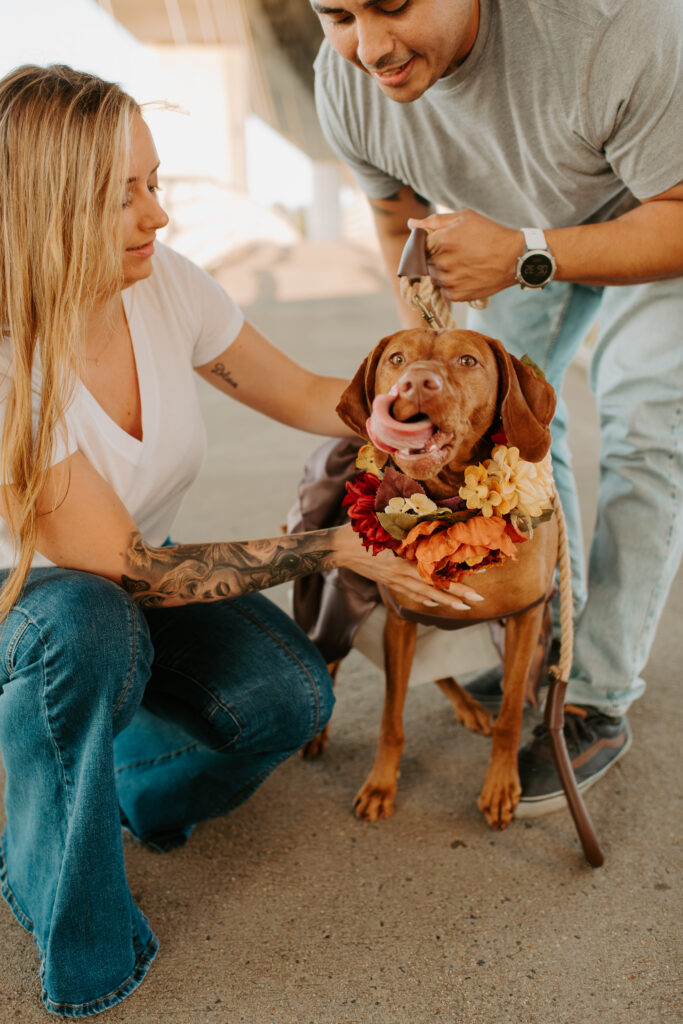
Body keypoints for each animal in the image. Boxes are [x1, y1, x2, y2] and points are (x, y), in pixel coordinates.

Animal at [333, 327, 557, 831]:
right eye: (397, 359)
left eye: (468, 361)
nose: (416, 383)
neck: (455, 509)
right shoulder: (401, 616)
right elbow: (391, 717)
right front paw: (381, 783)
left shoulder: (526, 618)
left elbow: (511, 715)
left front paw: (501, 786)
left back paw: (469, 707)